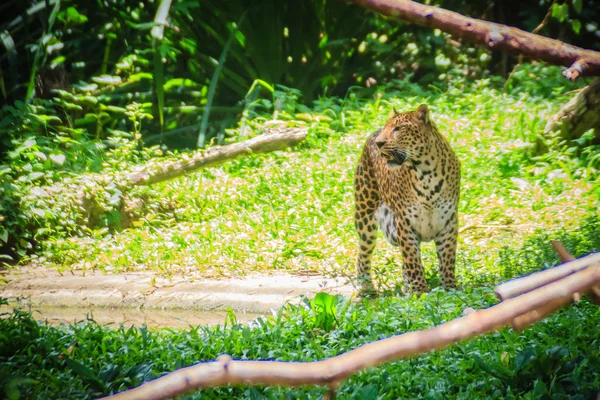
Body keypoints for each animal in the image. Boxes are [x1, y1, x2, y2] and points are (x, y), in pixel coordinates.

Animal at [354, 104, 462, 296]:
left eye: (398, 129)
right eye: (387, 127)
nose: (379, 143)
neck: (426, 173)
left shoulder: (448, 221)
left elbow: (447, 258)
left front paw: (449, 288)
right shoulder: (404, 222)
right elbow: (413, 260)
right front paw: (420, 291)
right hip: (364, 217)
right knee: (363, 252)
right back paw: (366, 286)